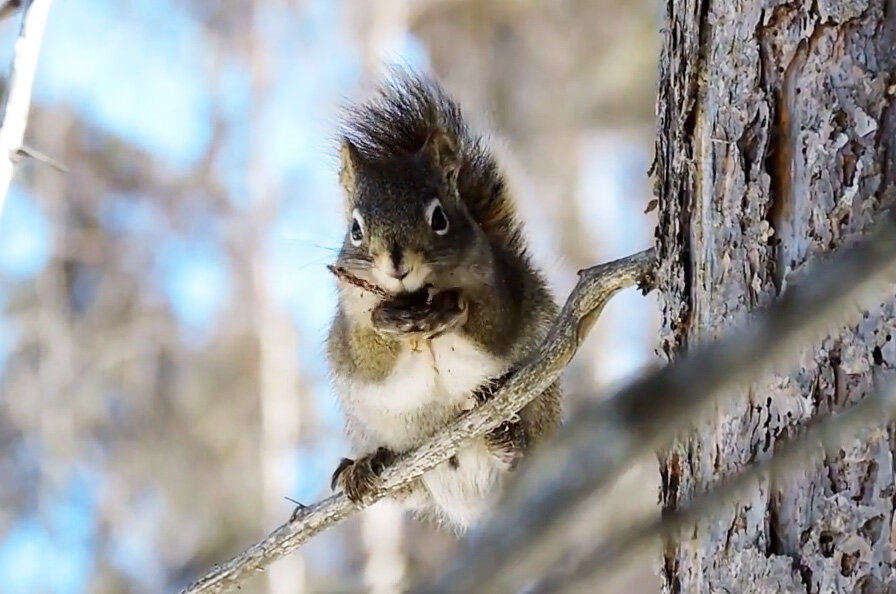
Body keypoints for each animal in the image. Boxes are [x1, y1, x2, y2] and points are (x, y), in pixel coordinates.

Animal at [322, 70, 560, 532]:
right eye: (355, 229)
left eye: (439, 218)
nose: (397, 264)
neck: (416, 297)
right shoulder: (351, 322)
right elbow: (370, 355)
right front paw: (388, 320)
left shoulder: (503, 289)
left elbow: (490, 323)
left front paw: (452, 309)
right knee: (405, 490)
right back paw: (363, 468)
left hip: (541, 406)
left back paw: (508, 440)